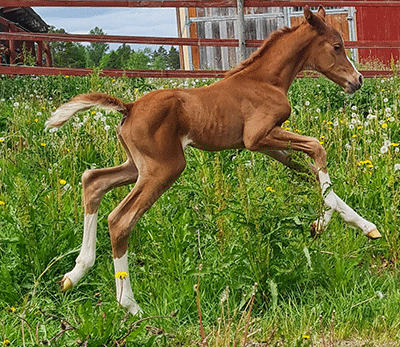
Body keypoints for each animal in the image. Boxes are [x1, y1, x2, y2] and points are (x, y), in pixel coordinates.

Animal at [46, 6, 382, 316]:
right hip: (164, 168)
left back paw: (75, 273)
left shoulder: (267, 145)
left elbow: (310, 172)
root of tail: (128, 107)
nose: (358, 80)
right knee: (120, 219)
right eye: (336, 46)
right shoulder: (258, 136)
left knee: (93, 181)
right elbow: (317, 149)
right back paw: (129, 304)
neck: (266, 80)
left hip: (136, 166)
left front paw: (364, 226)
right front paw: (321, 224)